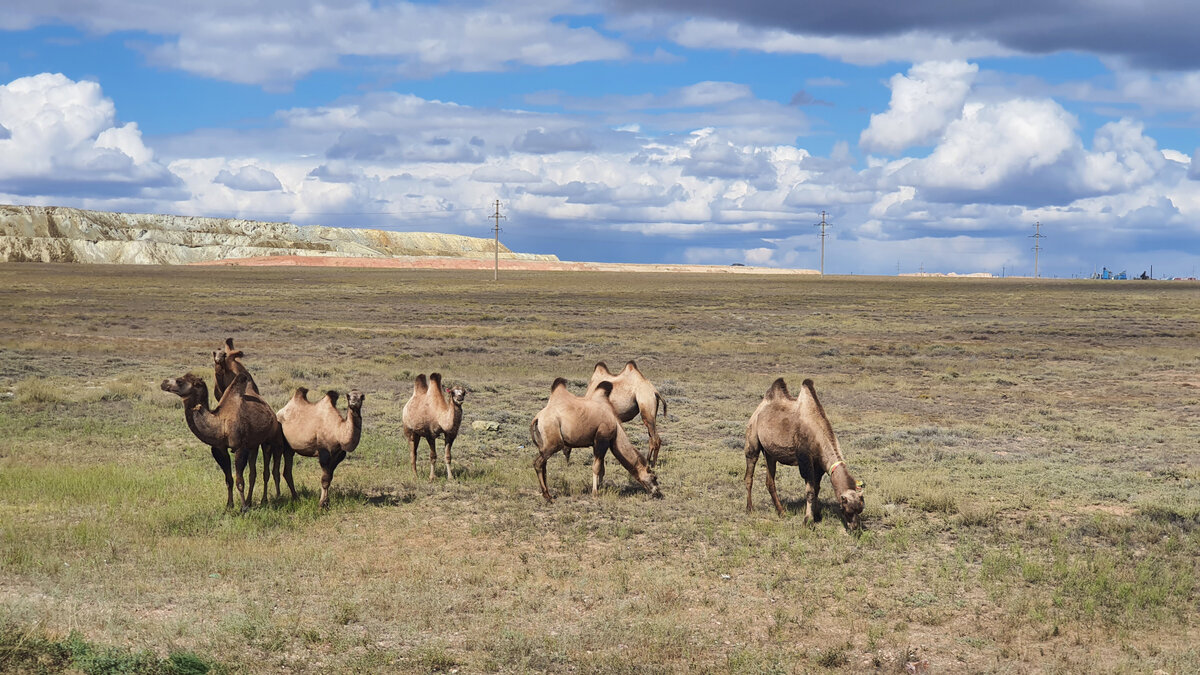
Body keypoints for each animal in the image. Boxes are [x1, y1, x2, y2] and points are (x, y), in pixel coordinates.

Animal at [159, 369, 290, 506]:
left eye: (180, 381)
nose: (163, 382)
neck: (221, 424)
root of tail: (272, 412)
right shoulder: (219, 449)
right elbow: (229, 479)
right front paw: (229, 505)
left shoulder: (240, 447)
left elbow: (239, 481)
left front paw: (243, 508)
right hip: (253, 445)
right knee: (253, 473)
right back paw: (251, 500)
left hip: (273, 439)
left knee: (271, 470)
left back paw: (273, 497)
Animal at [528, 379, 662, 499]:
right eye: (654, 478)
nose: (657, 492)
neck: (616, 426)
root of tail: (537, 418)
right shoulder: (601, 440)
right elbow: (596, 468)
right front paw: (595, 492)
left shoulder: (598, 443)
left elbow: (602, 468)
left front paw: (601, 487)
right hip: (553, 443)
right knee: (538, 463)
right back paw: (547, 496)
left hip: (543, 444)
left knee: (543, 465)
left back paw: (547, 493)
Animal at [739, 374, 864, 528]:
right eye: (846, 509)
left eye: (860, 509)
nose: (855, 527)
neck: (816, 430)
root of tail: (760, 408)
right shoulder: (805, 460)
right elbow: (810, 490)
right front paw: (808, 520)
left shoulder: (819, 464)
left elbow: (817, 488)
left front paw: (817, 515)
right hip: (752, 438)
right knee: (749, 473)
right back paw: (750, 508)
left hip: (770, 453)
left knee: (770, 480)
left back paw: (781, 511)